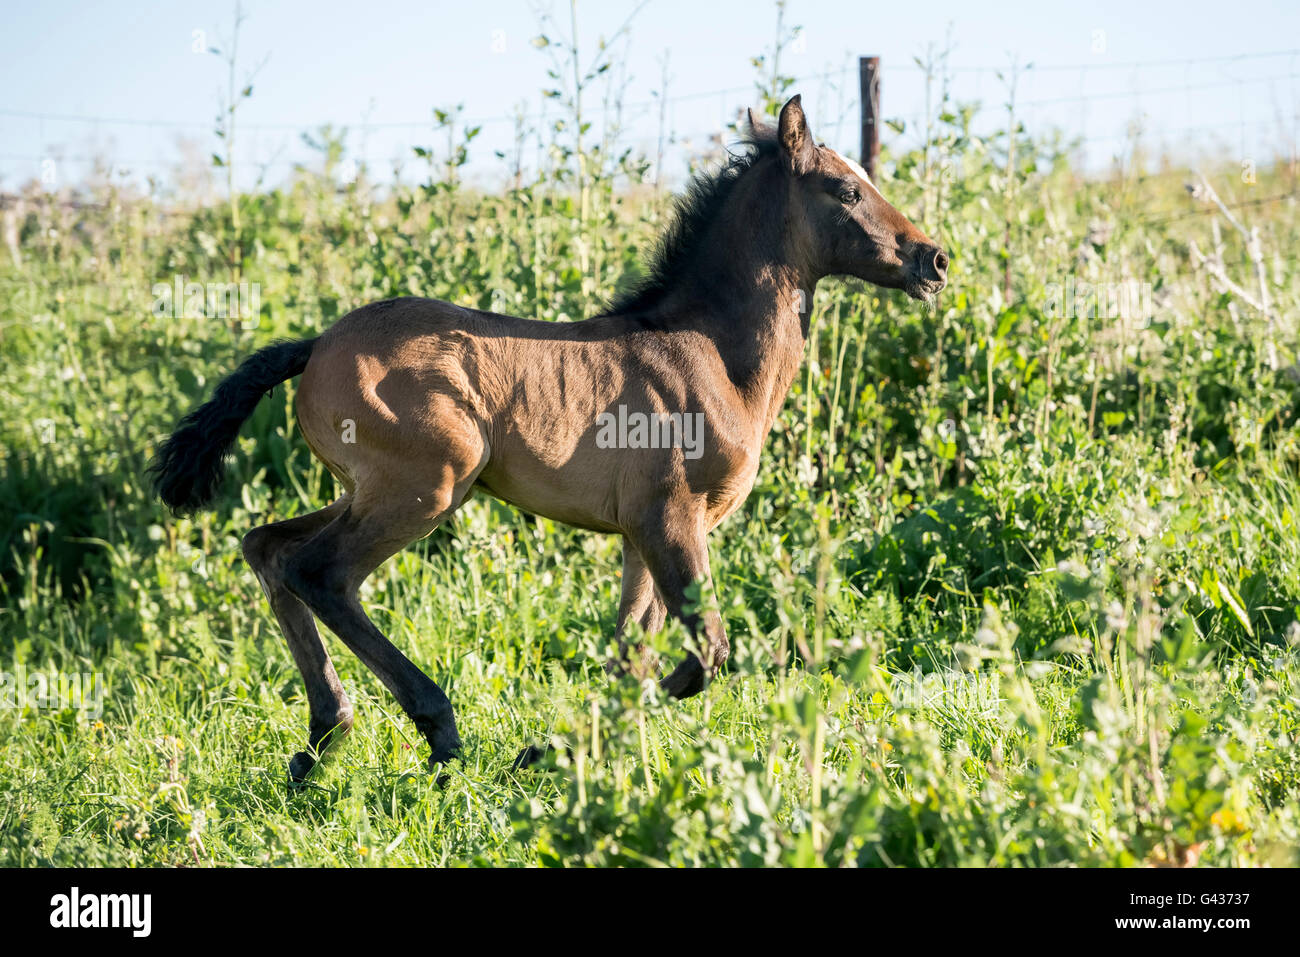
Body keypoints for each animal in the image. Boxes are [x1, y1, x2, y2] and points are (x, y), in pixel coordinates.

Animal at [149, 97, 946, 780]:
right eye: (845, 190)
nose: (932, 259)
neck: (711, 355)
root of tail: (314, 346)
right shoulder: (671, 519)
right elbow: (704, 655)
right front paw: (549, 751)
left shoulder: (639, 537)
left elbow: (630, 657)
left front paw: (570, 754)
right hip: (431, 484)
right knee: (320, 571)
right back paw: (434, 730)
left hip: (368, 489)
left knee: (268, 548)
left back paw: (322, 739)